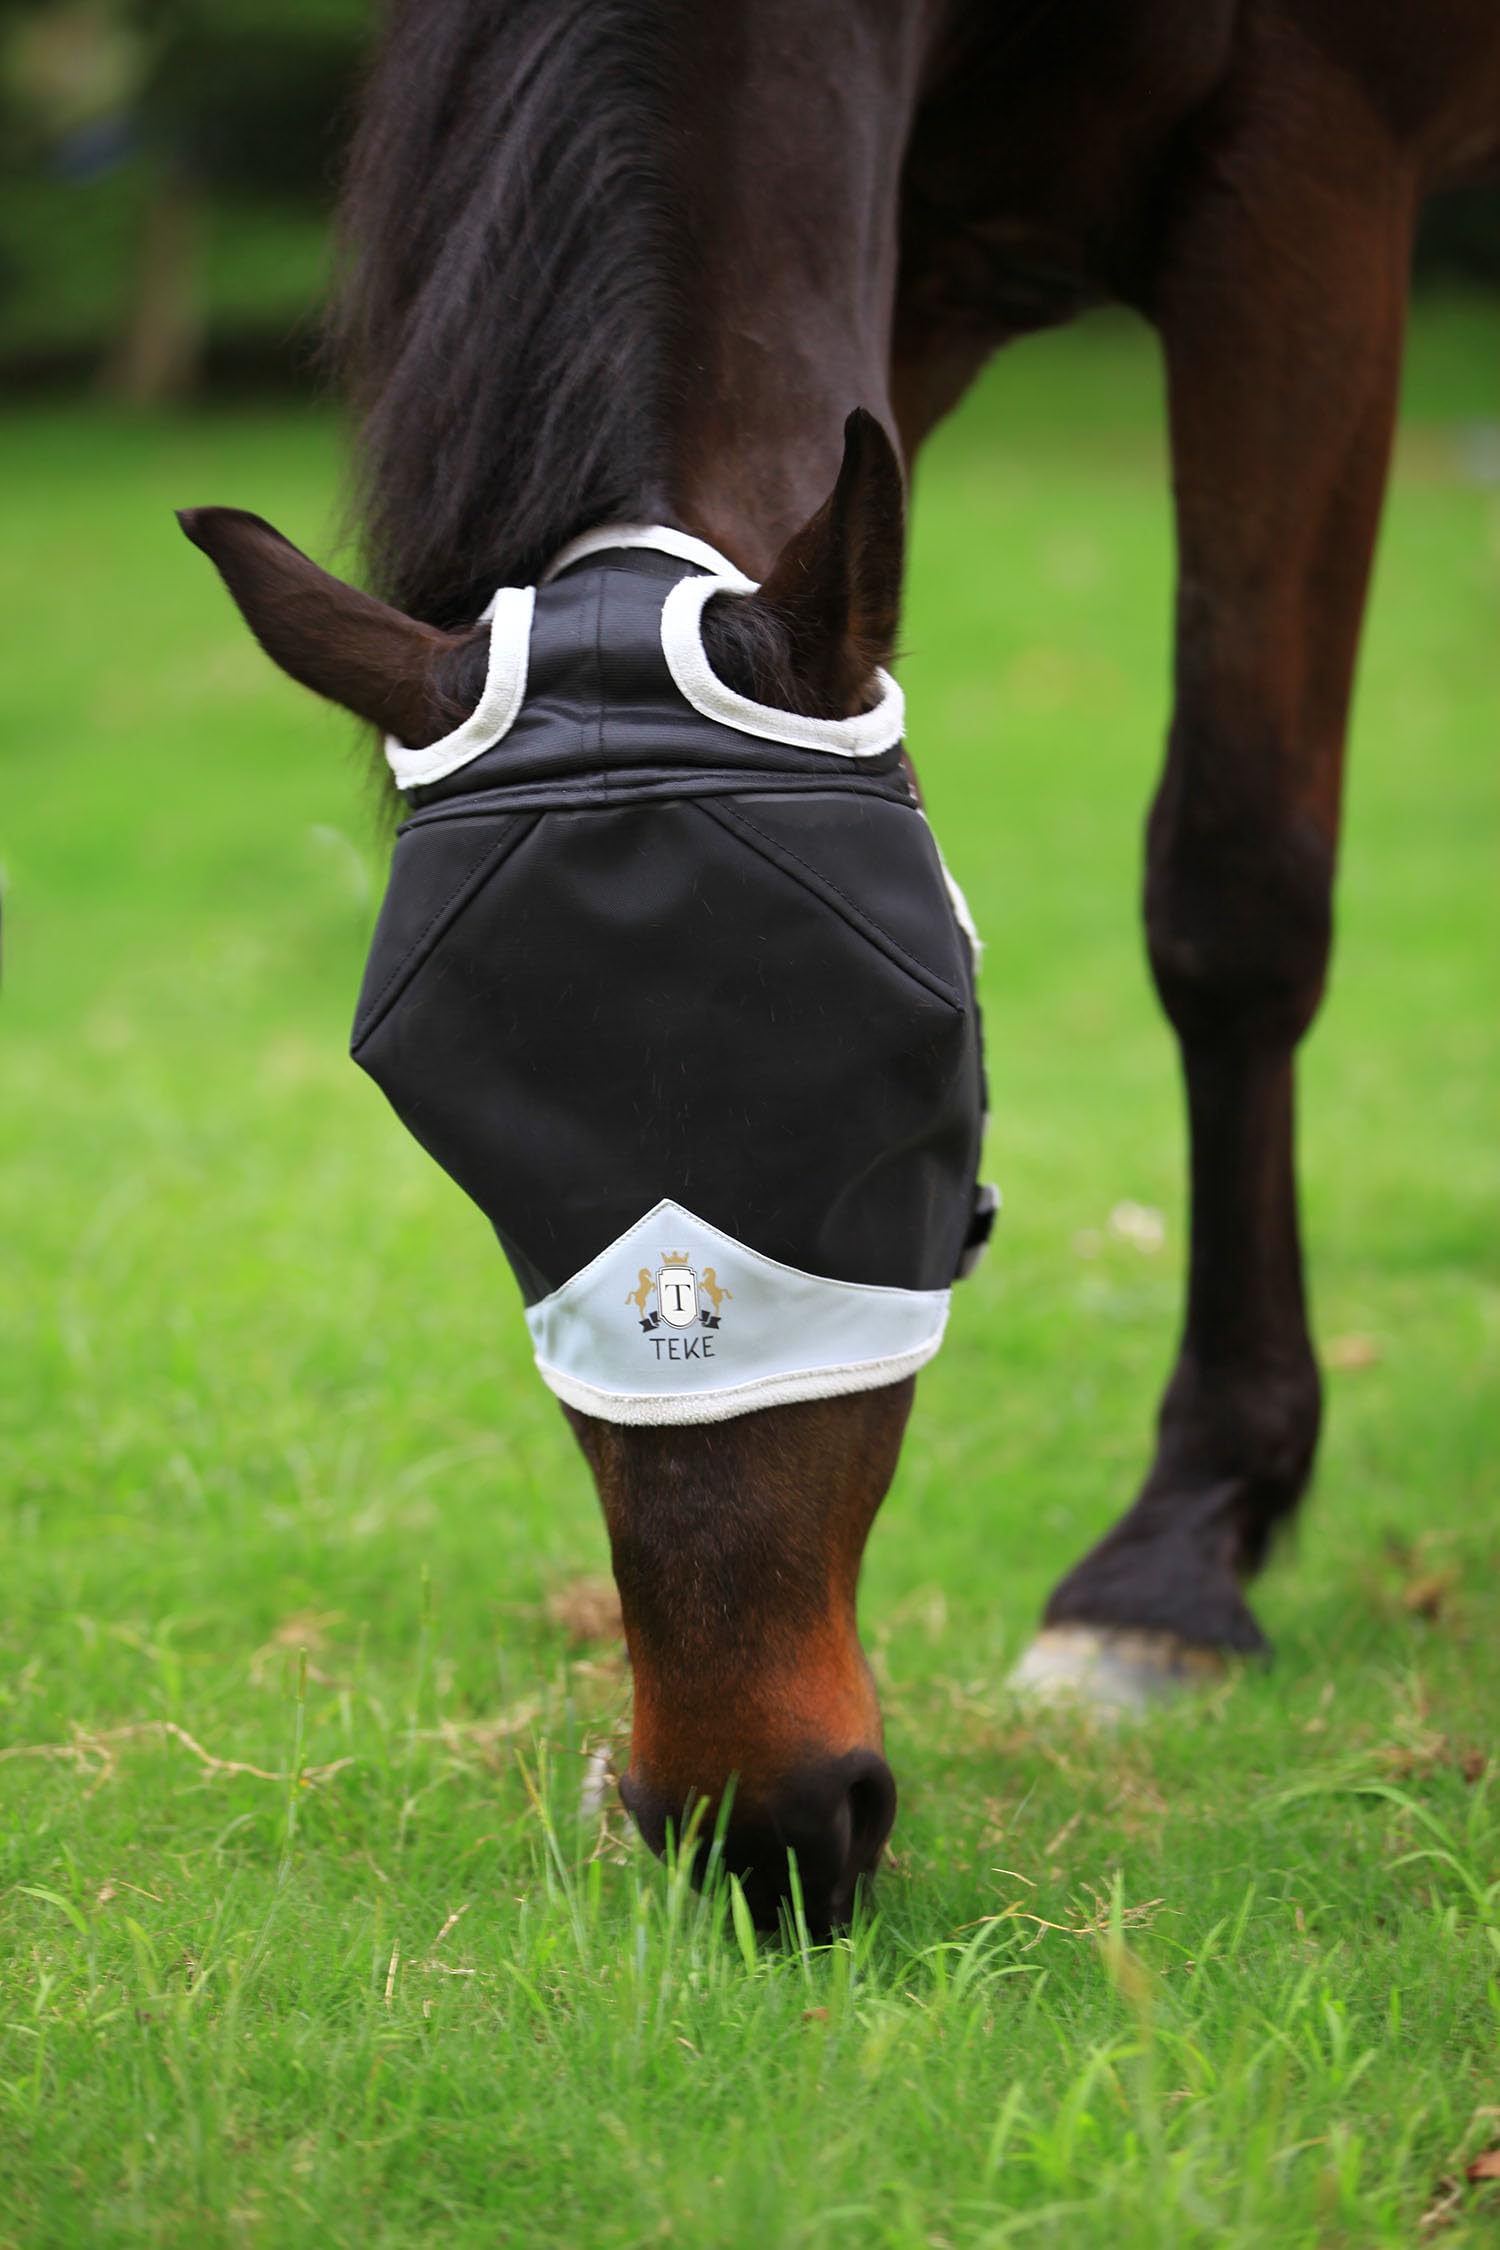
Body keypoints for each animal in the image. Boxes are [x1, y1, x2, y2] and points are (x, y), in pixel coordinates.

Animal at [178, 0, 1500, 1934]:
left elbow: (1235, 891)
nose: (756, 1821)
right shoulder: (906, 279)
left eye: (913, 1082)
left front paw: (1174, 1563)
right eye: (457, 1124)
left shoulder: (1312, 169)